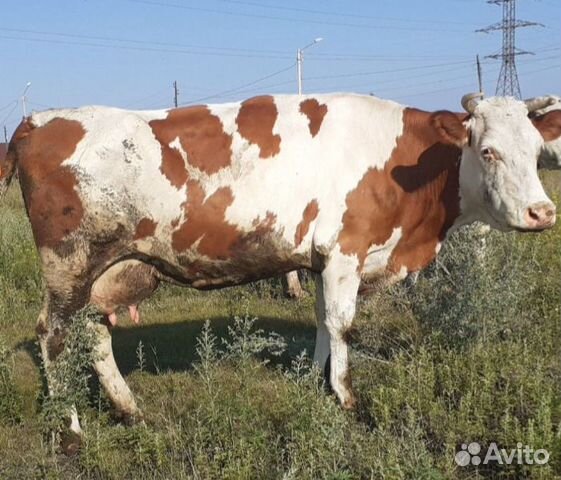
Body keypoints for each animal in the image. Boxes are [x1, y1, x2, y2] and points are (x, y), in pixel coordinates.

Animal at [0, 92, 556, 448]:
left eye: (537, 151)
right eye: (488, 150)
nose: (542, 212)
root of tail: (38, 120)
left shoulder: (321, 259)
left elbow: (322, 323)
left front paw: (315, 378)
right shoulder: (346, 252)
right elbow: (343, 324)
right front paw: (347, 397)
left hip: (108, 269)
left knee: (94, 334)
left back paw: (128, 409)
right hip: (69, 263)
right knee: (52, 335)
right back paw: (70, 428)